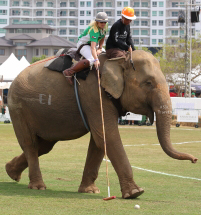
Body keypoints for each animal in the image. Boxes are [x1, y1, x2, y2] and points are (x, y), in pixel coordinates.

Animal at [5, 50, 197, 198]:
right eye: (148, 83)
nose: (195, 159)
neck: (118, 60)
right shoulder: (93, 94)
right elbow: (107, 136)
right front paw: (135, 193)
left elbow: (100, 140)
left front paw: (90, 191)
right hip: (18, 107)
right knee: (30, 144)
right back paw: (38, 187)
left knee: (44, 146)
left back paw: (10, 172)